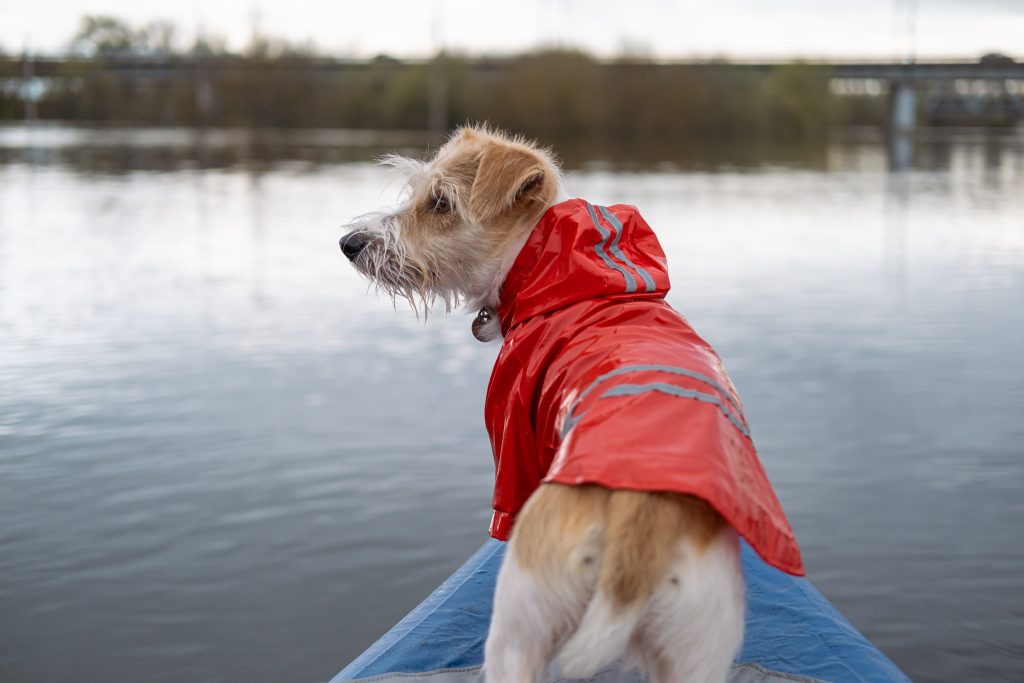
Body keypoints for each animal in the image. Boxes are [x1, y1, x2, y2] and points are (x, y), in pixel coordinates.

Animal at [339, 125, 802, 679]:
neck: (557, 264)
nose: (348, 244)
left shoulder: (513, 451)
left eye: (441, 203)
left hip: (518, 628)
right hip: (698, 648)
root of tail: (636, 523)